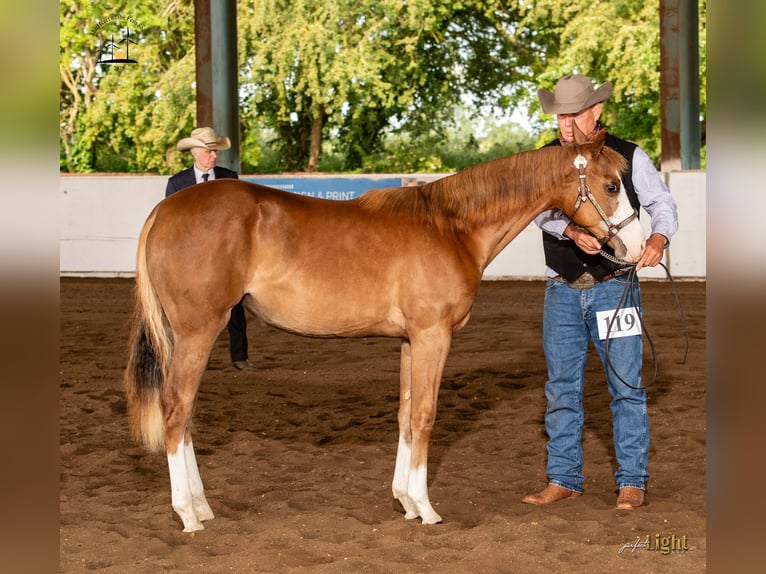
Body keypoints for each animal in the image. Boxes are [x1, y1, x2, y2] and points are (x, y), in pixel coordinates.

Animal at [124, 128, 645, 532]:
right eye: (612, 185)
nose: (639, 247)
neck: (451, 227)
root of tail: (164, 211)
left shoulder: (410, 342)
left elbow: (405, 416)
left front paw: (407, 502)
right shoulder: (434, 336)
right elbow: (426, 417)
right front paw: (429, 510)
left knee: (185, 415)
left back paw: (201, 505)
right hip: (197, 332)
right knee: (175, 409)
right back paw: (188, 514)